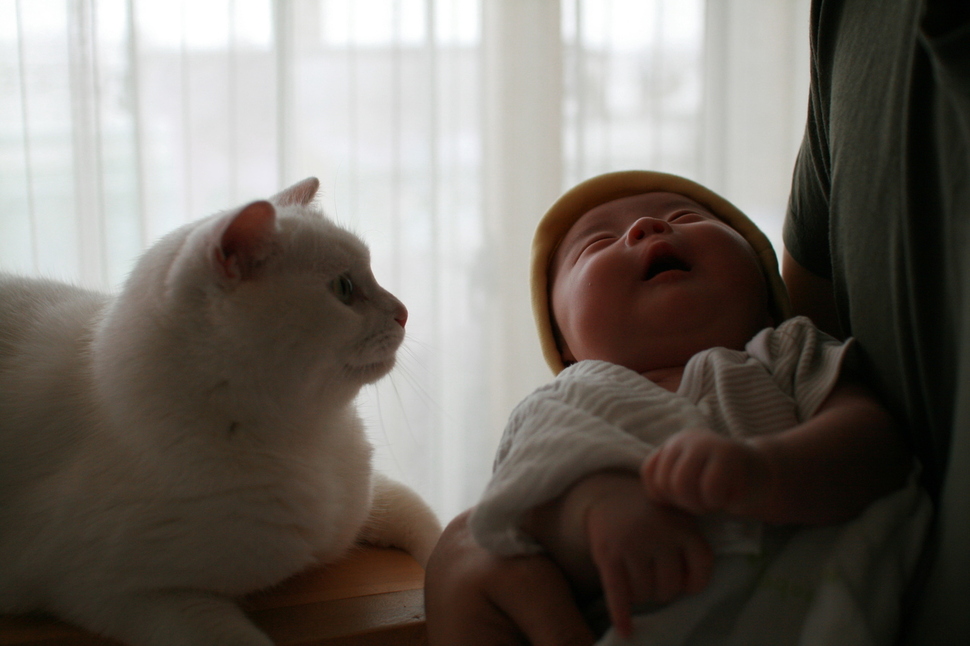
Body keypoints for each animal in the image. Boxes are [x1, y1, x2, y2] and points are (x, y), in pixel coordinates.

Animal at [0, 178, 442, 646]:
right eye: (343, 287)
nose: (403, 312)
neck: (309, 443)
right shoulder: (125, 595)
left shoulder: (372, 495)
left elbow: (430, 525)